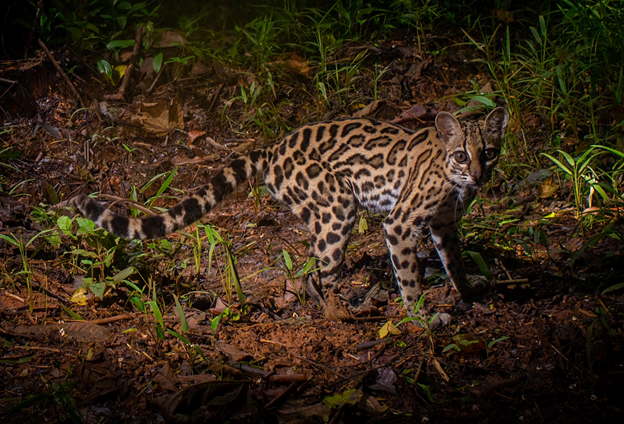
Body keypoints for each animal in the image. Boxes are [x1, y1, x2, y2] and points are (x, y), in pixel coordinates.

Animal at [75, 107, 510, 320]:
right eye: (461, 155)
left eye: (489, 153)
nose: (478, 175)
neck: (453, 181)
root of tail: (273, 148)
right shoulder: (400, 222)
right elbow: (409, 277)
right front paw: (420, 317)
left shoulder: (444, 225)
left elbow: (454, 261)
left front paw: (469, 291)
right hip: (338, 206)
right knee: (322, 275)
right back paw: (343, 313)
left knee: (309, 272)